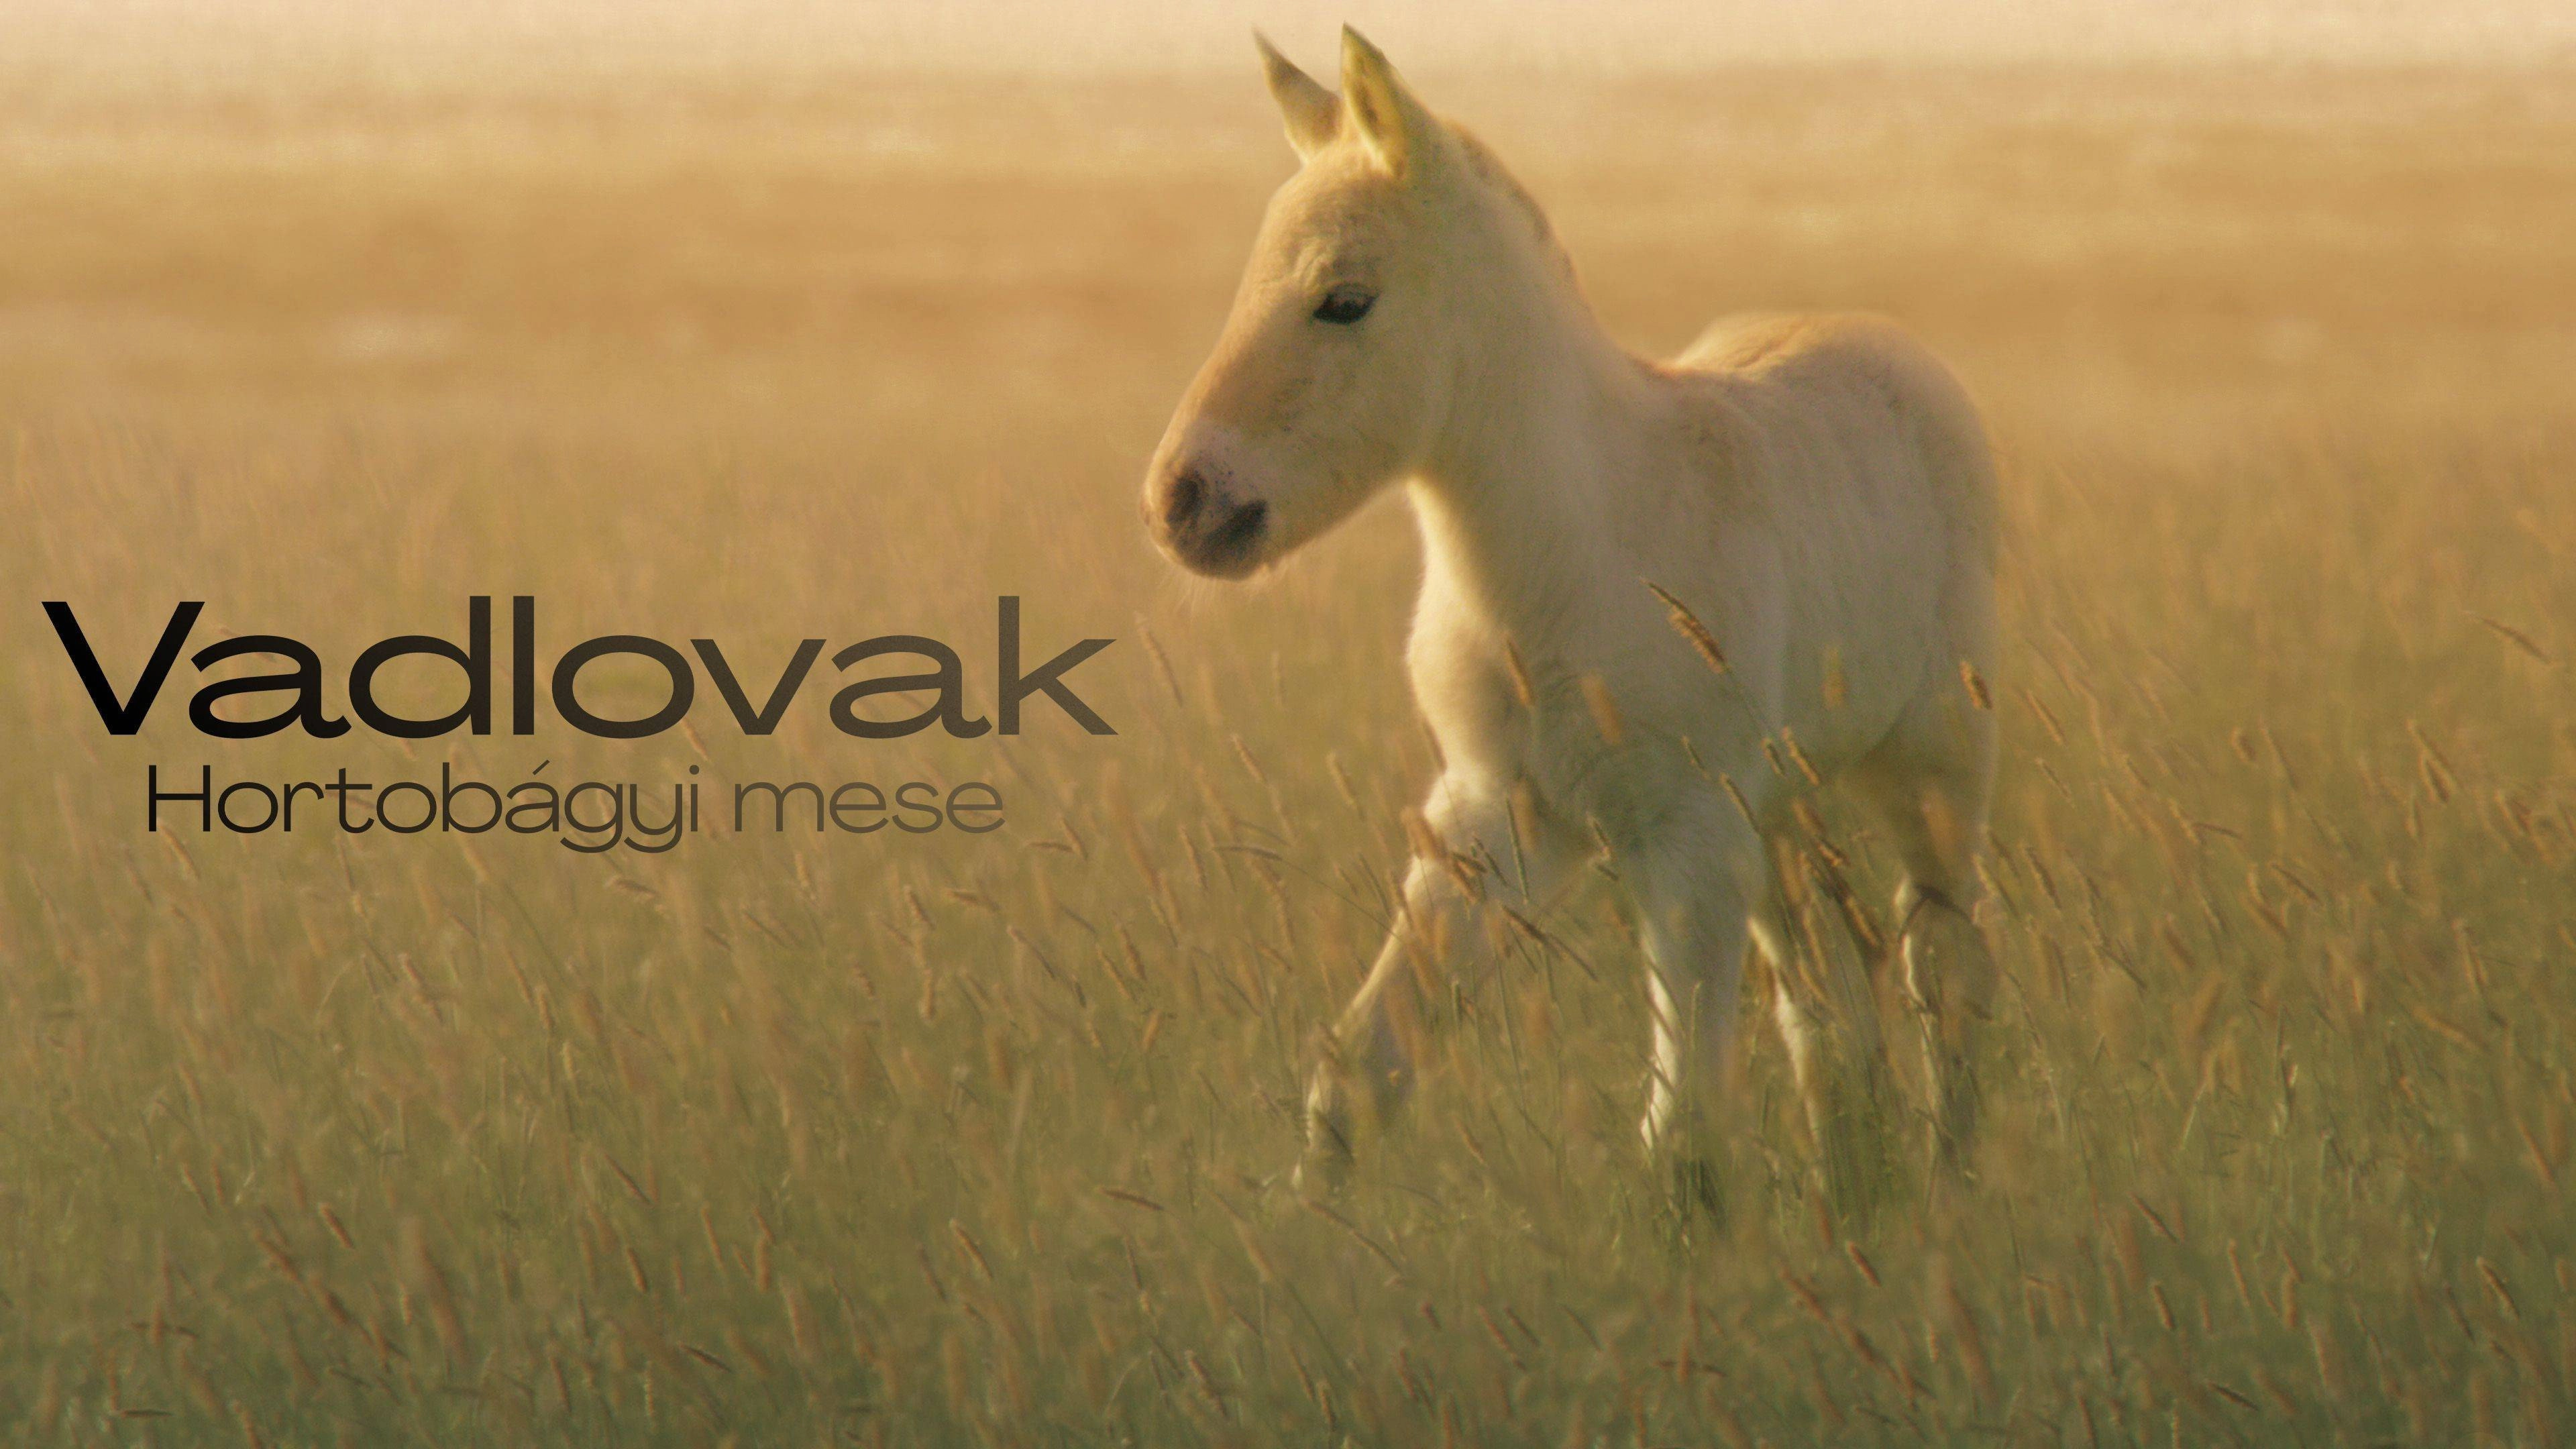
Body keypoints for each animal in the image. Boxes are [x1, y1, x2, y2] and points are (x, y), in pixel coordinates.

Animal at [1142, 27, 2001, 1219]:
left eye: (1344, 299)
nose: (1184, 501)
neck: (1573, 553)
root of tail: (1893, 346)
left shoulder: (1684, 833)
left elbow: (1682, 1132)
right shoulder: (1494, 816)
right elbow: (1361, 1065)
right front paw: (1299, 1229)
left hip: (1930, 764)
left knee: (1944, 957)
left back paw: (1949, 1187)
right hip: (1783, 808)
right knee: (1828, 984)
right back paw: (1854, 1184)